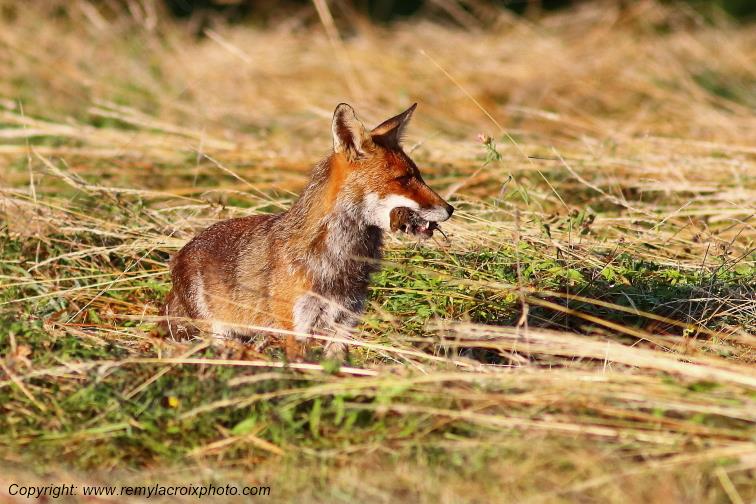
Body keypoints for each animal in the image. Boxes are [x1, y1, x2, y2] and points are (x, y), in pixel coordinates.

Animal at [160, 103, 454, 359]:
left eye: (419, 175)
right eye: (403, 179)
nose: (450, 209)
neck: (340, 263)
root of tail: (180, 253)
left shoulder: (344, 324)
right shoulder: (296, 329)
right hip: (219, 334)